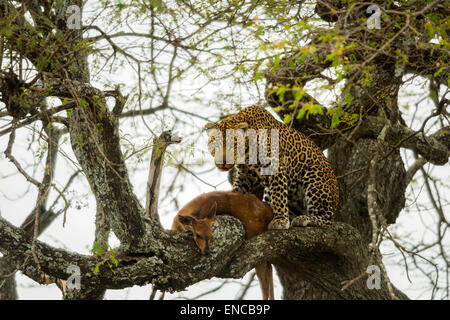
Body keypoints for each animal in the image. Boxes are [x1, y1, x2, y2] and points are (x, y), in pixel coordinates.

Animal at [204, 105, 338, 230]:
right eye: (216, 145)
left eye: (234, 145)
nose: (222, 162)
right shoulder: (245, 174)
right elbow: (237, 191)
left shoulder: (274, 166)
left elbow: (279, 196)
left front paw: (280, 220)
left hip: (314, 177)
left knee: (328, 219)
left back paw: (304, 219)